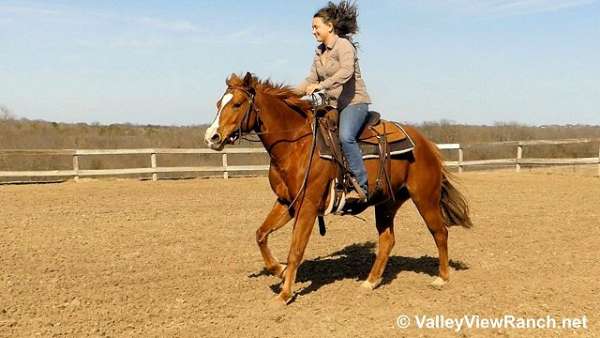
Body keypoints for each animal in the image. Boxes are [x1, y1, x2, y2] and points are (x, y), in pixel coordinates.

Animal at [204, 72, 472, 304]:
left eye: (237, 104)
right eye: (218, 103)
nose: (212, 137)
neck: (296, 145)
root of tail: (427, 144)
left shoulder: (308, 205)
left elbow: (296, 249)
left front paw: (285, 293)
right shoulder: (287, 202)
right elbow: (261, 234)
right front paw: (279, 270)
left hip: (424, 197)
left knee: (439, 232)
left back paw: (441, 278)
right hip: (387, 202)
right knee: (387, 240)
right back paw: (370, 281)